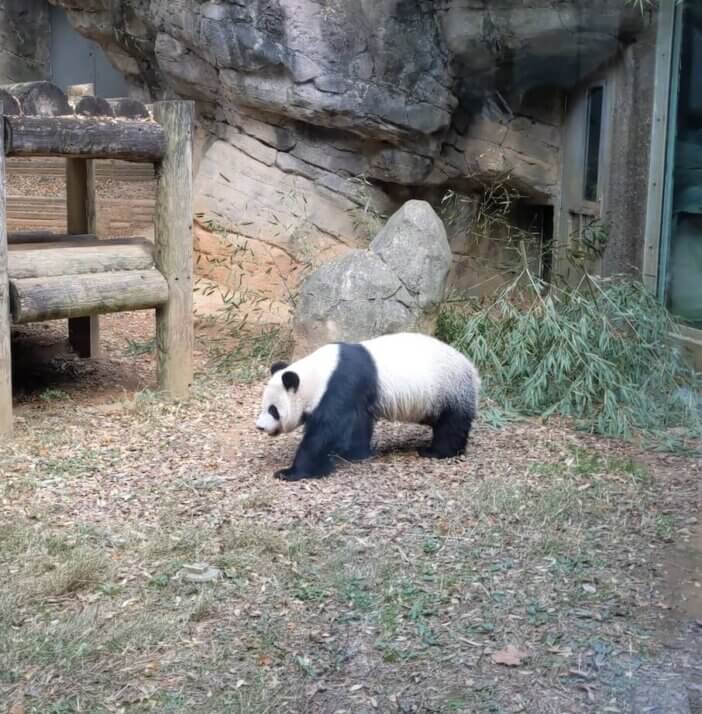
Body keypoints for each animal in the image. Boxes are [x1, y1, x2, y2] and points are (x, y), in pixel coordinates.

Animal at [255, 332, 480, 481]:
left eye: (273, 410)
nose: (260, 426)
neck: (318, 373)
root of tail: (472, 369)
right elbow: (358, 423)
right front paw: (354, 453)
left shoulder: (341, 385)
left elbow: (325, 431)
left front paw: (291, 472)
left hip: (449, 389)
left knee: (451, 425)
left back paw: (436, 452)